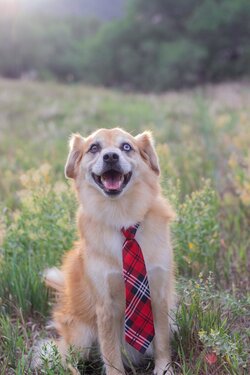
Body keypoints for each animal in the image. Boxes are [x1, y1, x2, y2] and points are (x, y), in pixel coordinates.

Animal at [44, 128, 175, 374]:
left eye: (126, 147)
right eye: (94, 148)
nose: (111, 157)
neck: (123, 218)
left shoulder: (159, 293)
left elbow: (162, 341)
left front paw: (164, 369)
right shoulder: (105, 305)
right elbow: (111, 351)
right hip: (81, 337)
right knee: (64, 357)